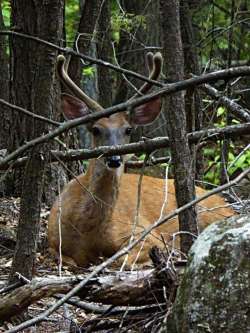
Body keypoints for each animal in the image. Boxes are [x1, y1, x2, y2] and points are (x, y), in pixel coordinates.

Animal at [47, 50, 235, 266]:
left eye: (128, 129)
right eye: (96, 129)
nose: (114, 159)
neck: (84, 229)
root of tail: (230, 207)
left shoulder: (143, 232)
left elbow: (122, 259)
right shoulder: (53, 243)